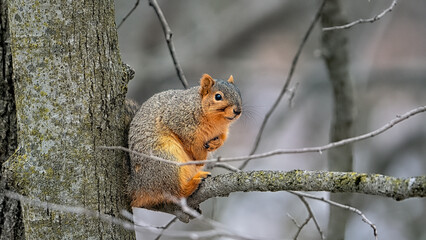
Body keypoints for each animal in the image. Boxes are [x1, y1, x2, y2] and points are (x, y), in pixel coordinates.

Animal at [127, 73, 243, 208]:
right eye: (218, 96)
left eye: (239, 93)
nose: (238, 111)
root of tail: (137, 186)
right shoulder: (177, 120)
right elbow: (191, 142)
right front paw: (200, 158)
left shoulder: (221, 131)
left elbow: (222, 138)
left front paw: (215, 144)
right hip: (166, 160)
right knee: (175, 192)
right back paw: (193, 183)